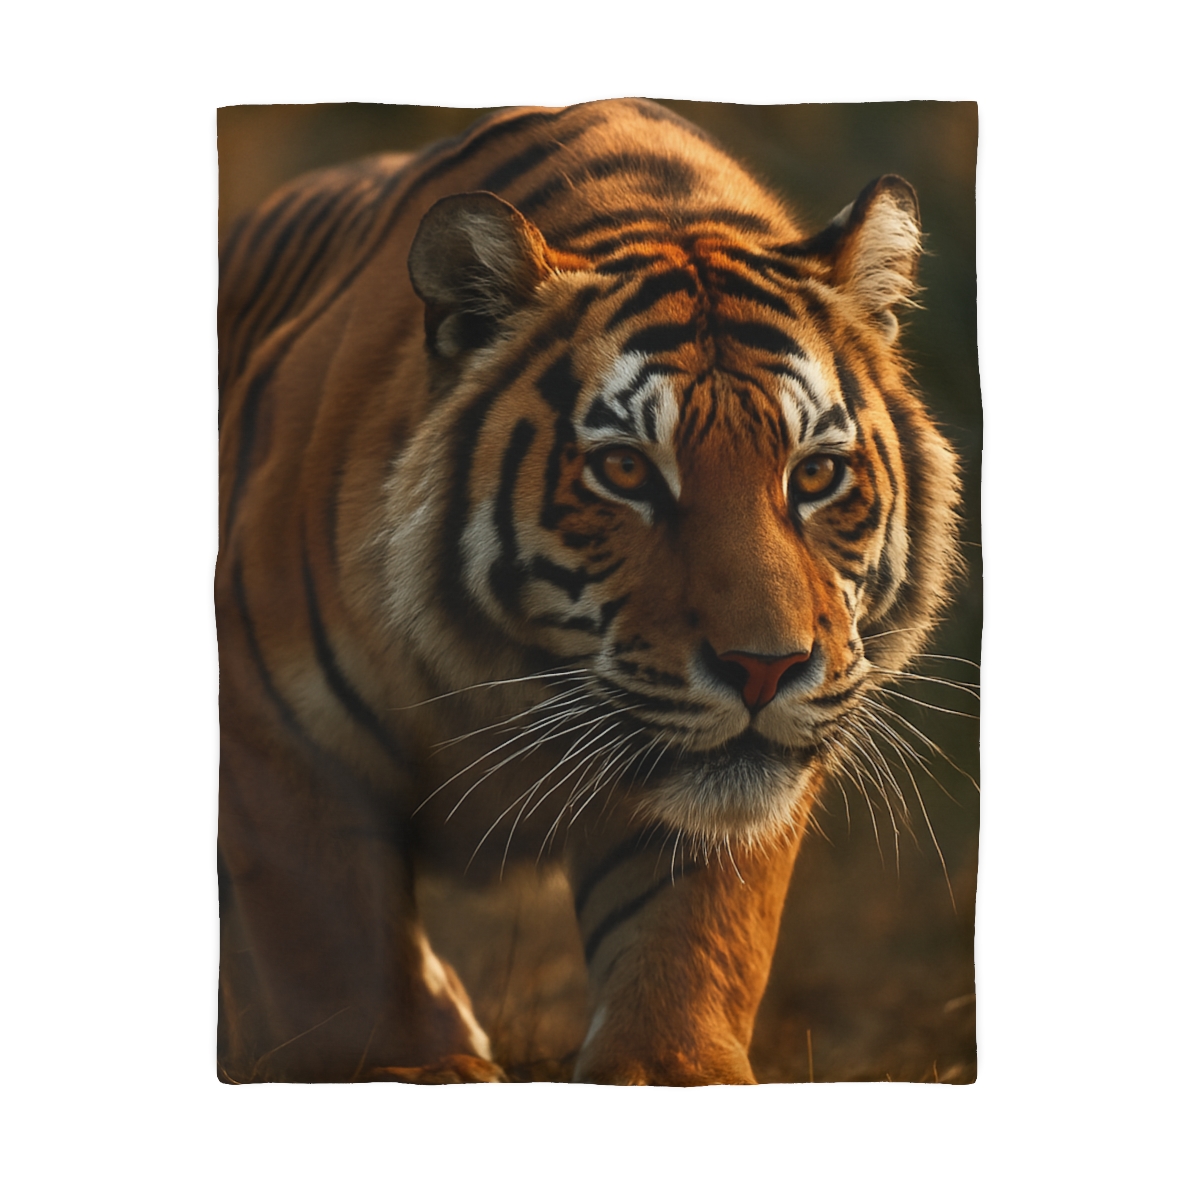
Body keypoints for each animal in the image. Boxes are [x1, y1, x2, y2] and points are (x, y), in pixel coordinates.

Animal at [216, 98, 962, 1085]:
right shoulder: (279, 734)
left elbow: (693, 945)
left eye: (815, 474)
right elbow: (330, 960)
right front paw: (408, 1066)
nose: (766, 670)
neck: (511, 692)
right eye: (625, 470)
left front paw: (672, 1067)